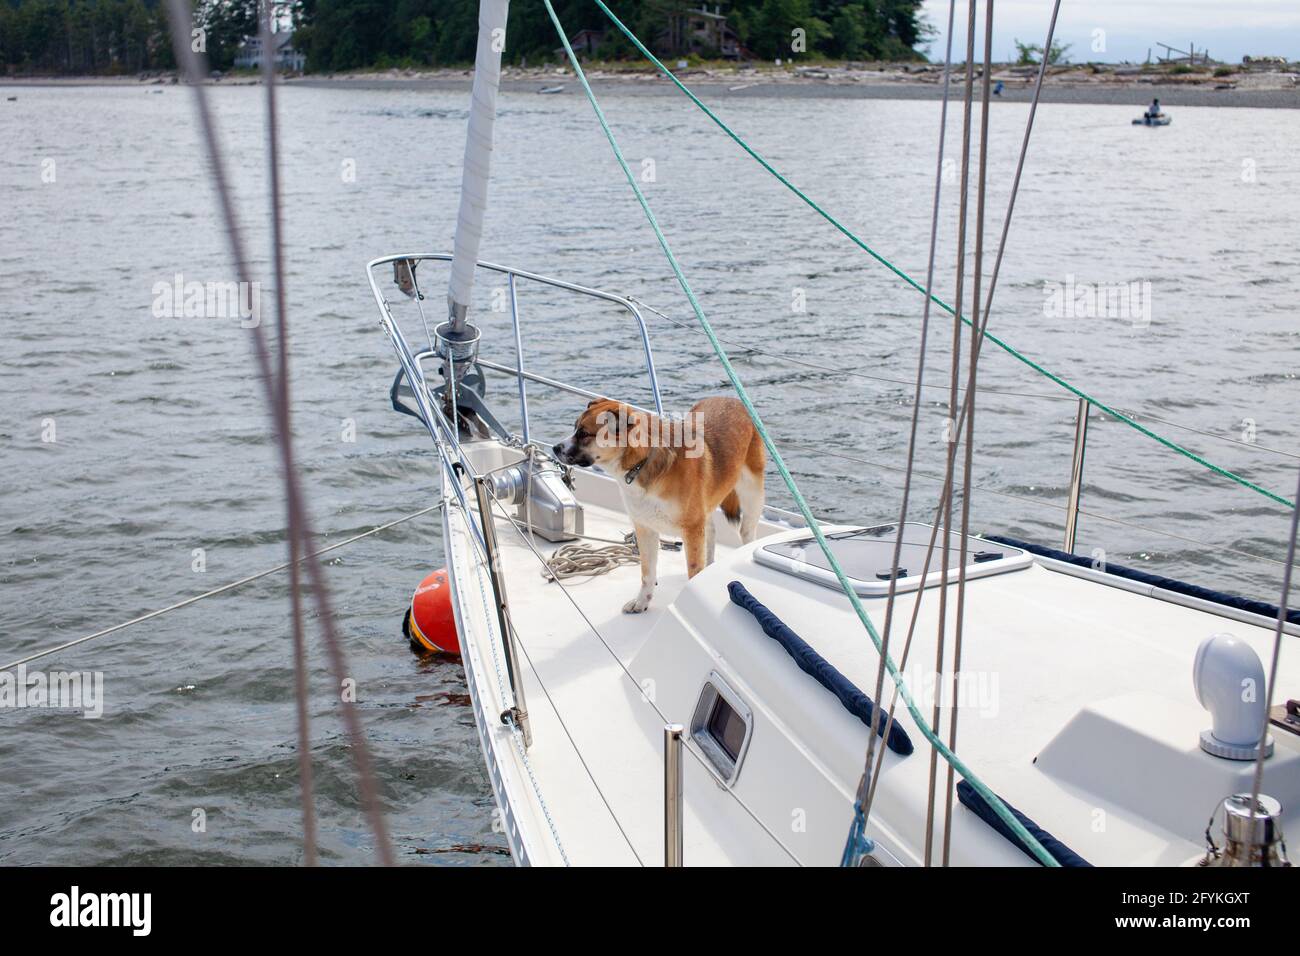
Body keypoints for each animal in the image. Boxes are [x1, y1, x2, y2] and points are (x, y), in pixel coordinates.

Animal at [551, 395, 759, 613]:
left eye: (584, 434)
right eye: (575, 428)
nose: (555, 448)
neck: (643, 460)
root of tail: (732, 399)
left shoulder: (692, 530)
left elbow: (693, 569)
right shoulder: (646, 528)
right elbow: (647, 572)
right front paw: (642, 602)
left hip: (752, 492)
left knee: (746, 530)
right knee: (711, 531)